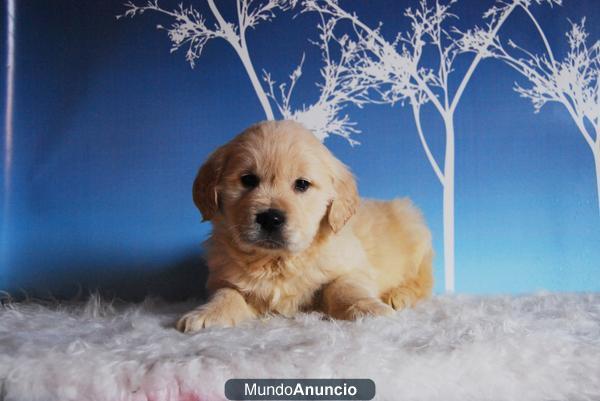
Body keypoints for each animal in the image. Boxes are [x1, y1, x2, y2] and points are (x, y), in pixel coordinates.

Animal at [176, 119, 434, 332]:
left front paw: (369, 310)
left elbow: (344, 288)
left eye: (302, 184)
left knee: (422, 283)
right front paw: (207, 314)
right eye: (248, 180)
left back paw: (397, 295)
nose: (270, 218)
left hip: (415, 237)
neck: (277, 261)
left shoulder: (352, 267)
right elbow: (226, 294)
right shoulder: (223, 278)